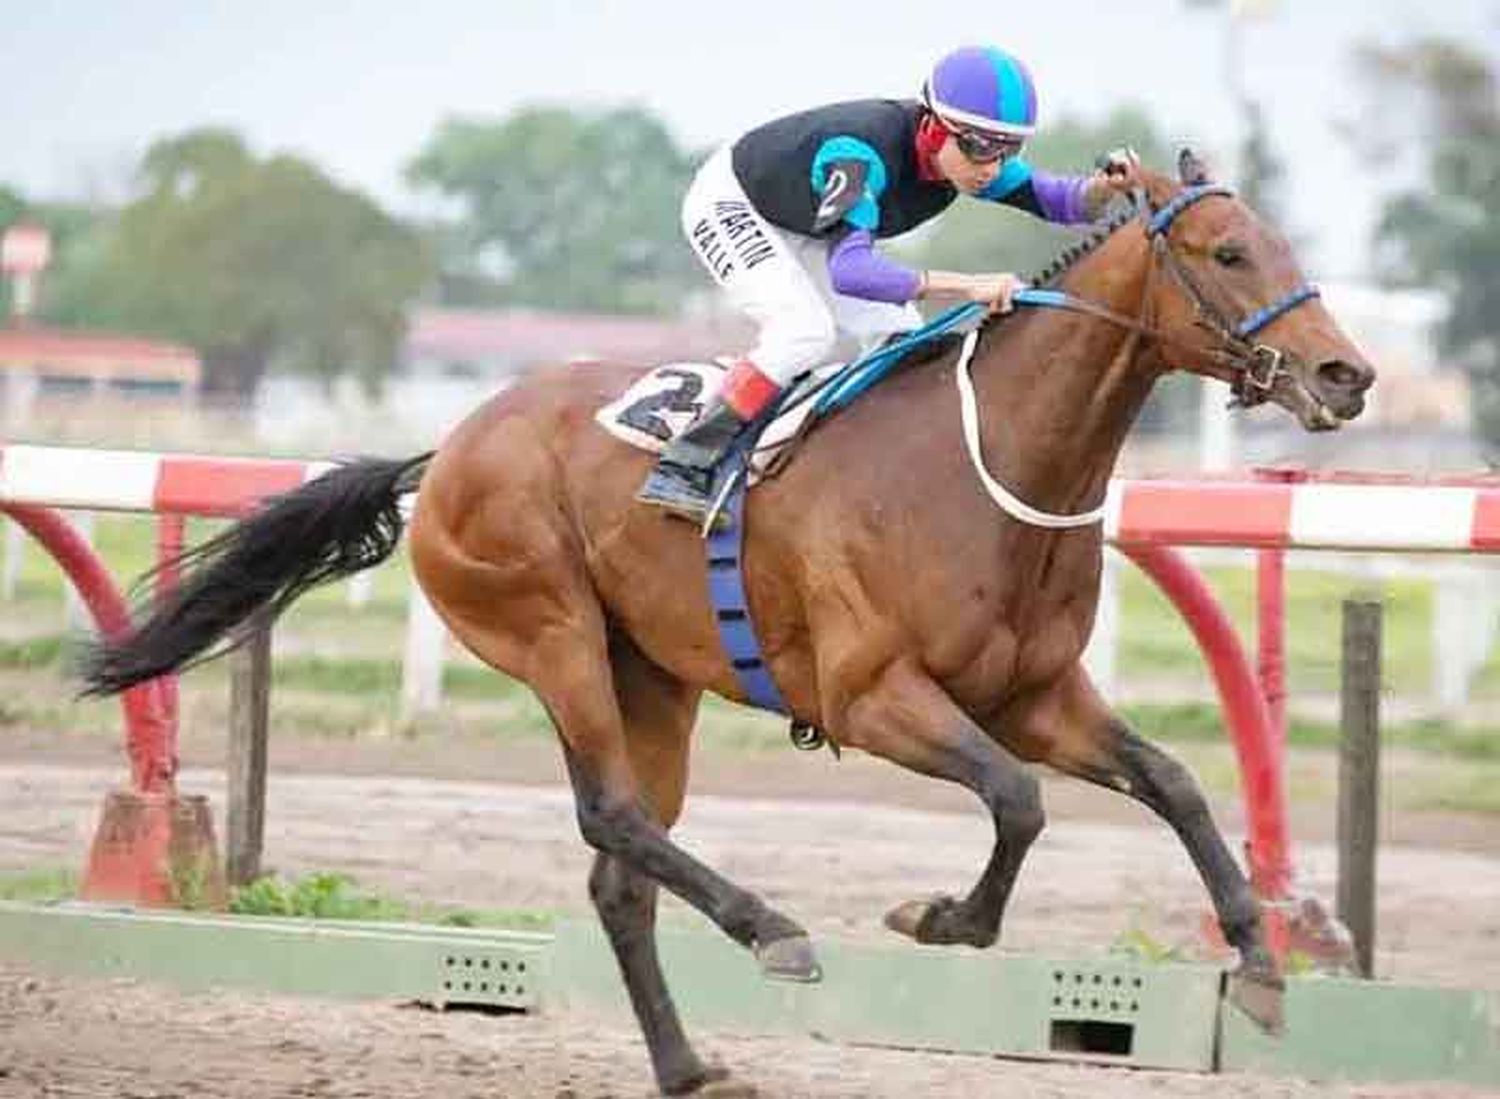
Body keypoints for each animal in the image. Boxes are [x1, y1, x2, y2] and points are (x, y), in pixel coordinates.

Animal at [82, 149, 1374, 1091]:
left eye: (1286, 243)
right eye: (1227, 250)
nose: (1347, 375)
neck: (993, 463)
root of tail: (442, 451)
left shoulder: (1039, 695)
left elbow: (1176, 784)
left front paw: (1262, 968)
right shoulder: (874, 696)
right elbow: (1017, 798)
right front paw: (941, 916)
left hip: (652, 678)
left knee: (620, 874)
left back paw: (690, 1064)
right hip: (551, 632)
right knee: (610, 815)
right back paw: (772, 929)